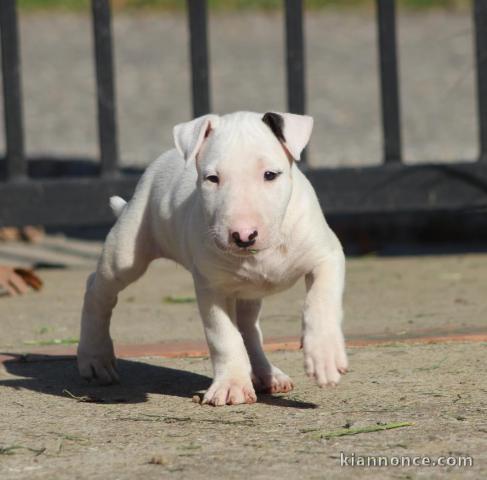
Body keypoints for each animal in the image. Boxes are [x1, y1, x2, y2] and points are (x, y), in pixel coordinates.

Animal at [78, 111, 348, 404]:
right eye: (212, 178)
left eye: (270, 175)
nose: (243, 235)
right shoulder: (212, 287)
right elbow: (223, 335)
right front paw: (231, 385)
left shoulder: (327, 255)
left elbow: (319, 302)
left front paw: (324, 357)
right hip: (126, 252)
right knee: (97, 290)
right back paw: (95, 357)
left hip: (249, 293)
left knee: (248, 327)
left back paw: (267, 374)